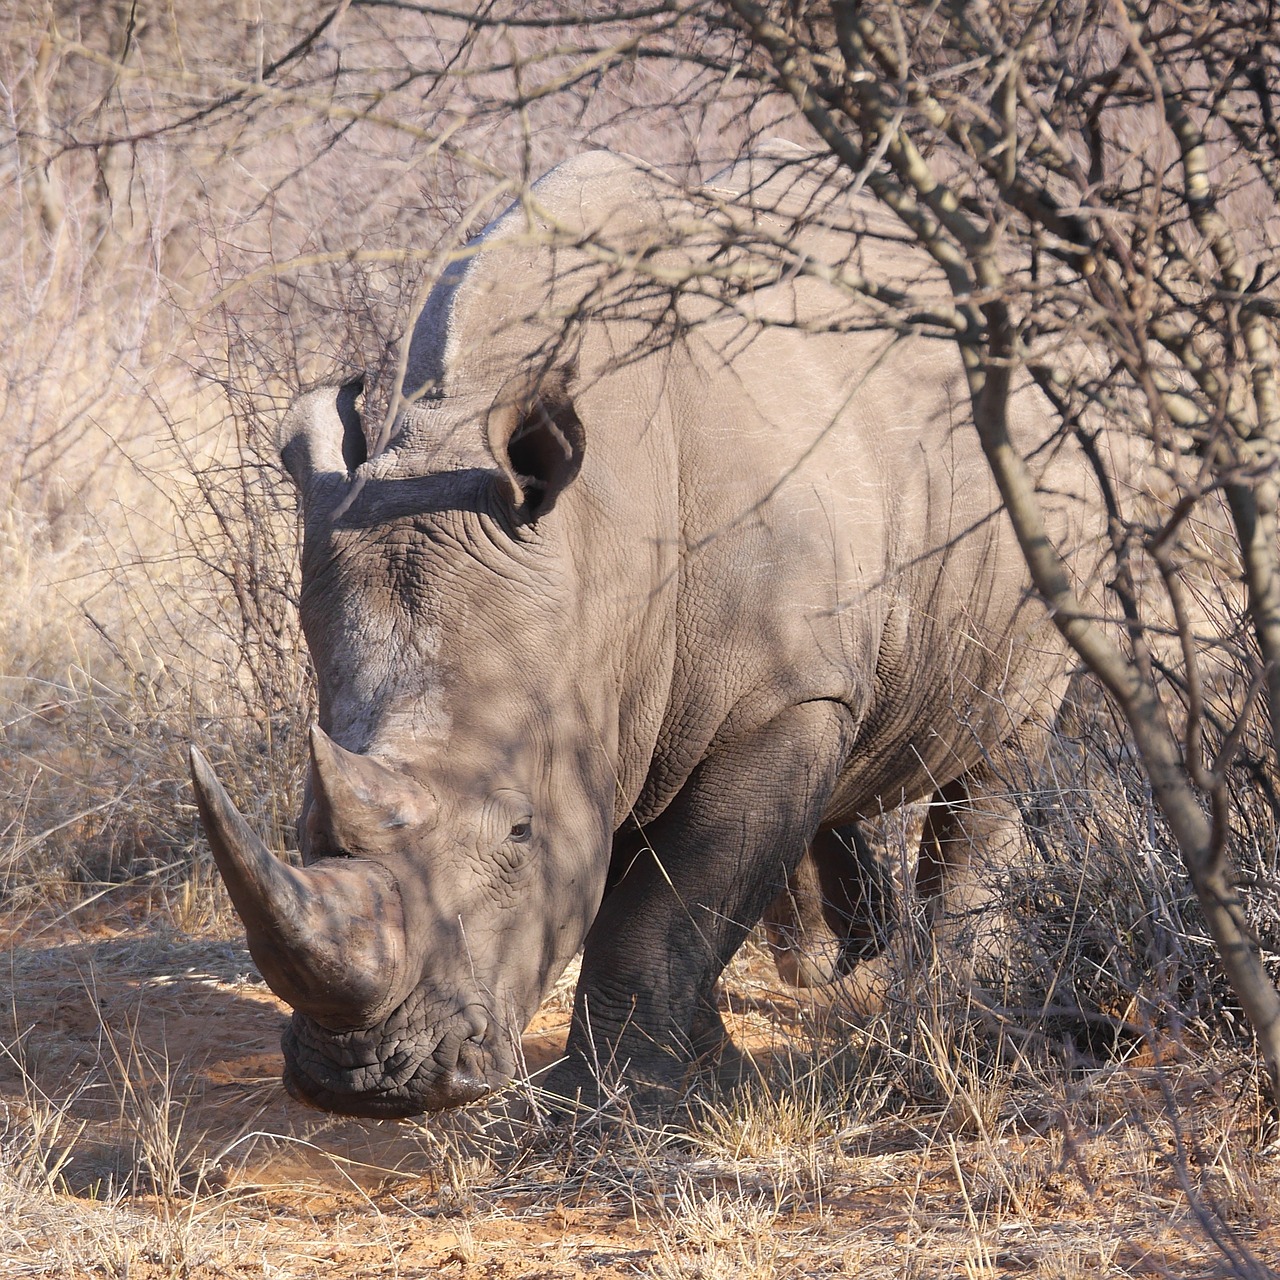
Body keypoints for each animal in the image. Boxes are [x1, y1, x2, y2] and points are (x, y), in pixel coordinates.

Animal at [189, 145, 1090, 1116]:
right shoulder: (607, 682)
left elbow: (665, 908)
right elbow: (669, 897)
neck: (592, 547)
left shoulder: (775, 696)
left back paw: (947, 1014)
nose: (367, 1082)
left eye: (518, 834)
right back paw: (843, 957)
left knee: (1003, 749)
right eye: (302, 823)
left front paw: (614, 1104)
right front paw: (704, 1074)